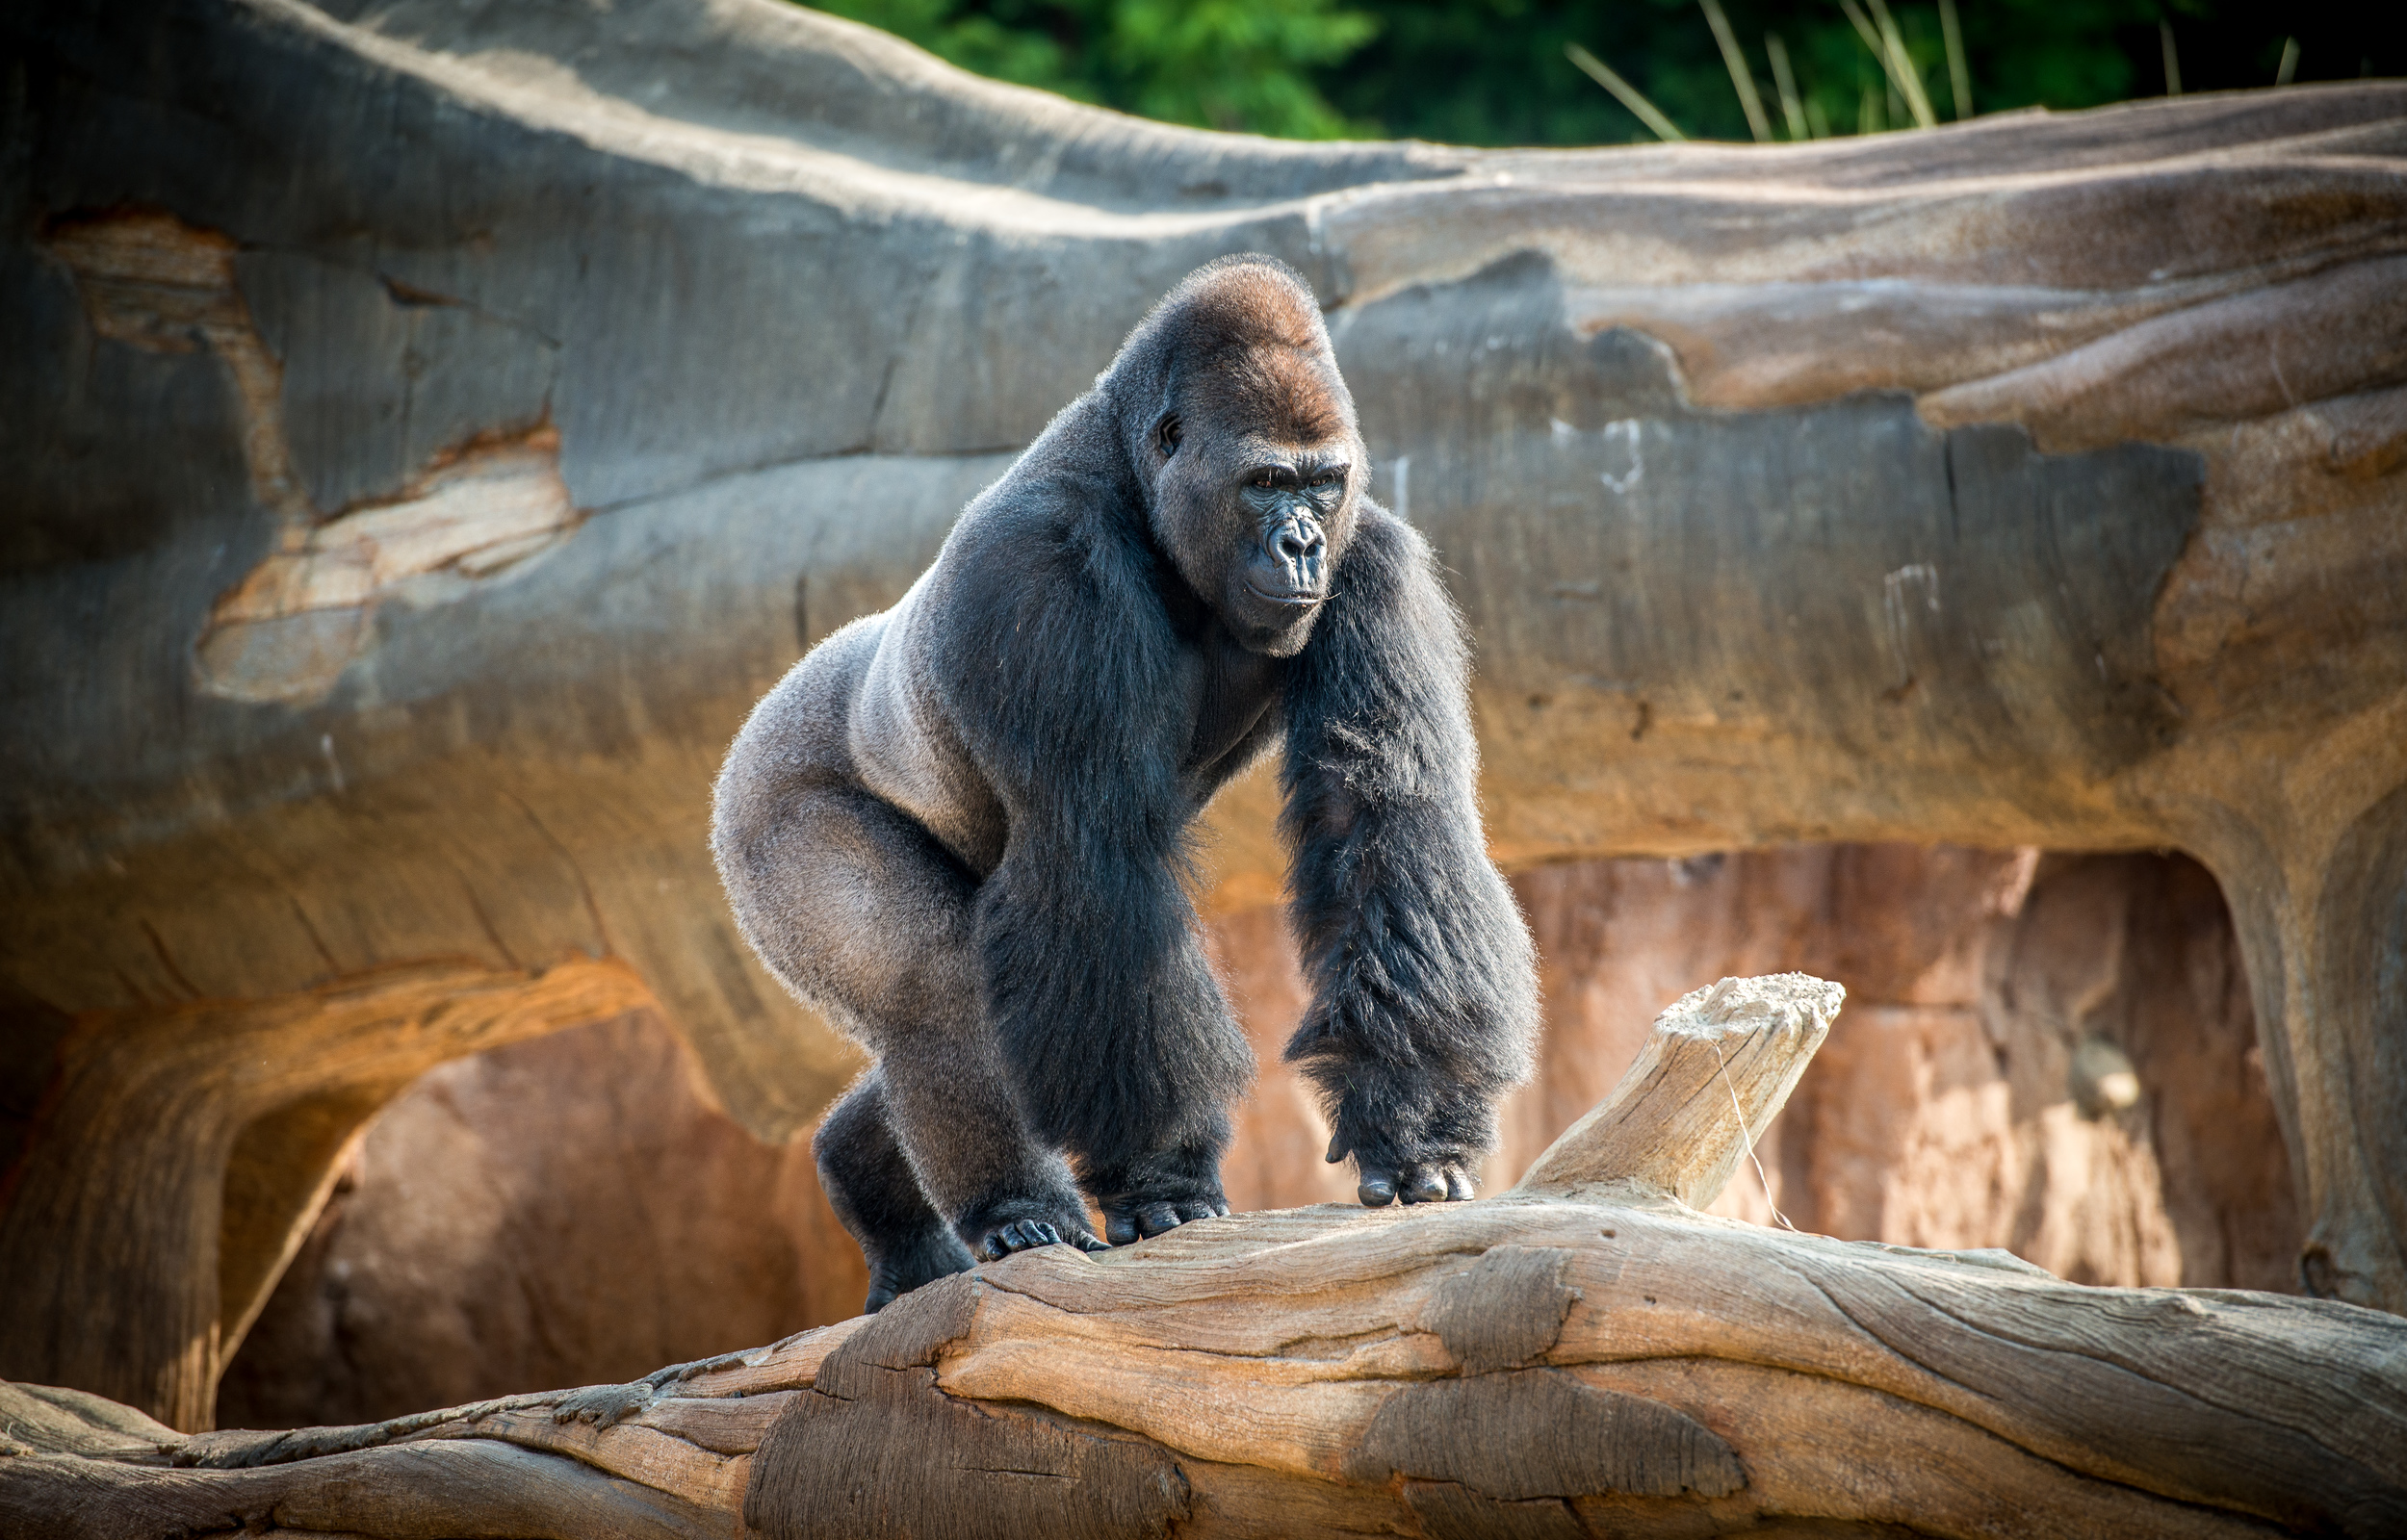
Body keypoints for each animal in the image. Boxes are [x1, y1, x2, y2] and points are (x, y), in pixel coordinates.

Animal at [712, 255, 1540, 1309]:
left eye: (1321, 483)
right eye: (1264, 483)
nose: (1301, 544)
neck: (1137, 479)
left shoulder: (1372, 553)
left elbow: (1386, 820)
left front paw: (1414, 1122)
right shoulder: (1042, 568)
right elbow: (1093, 853)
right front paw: (1161, 1175)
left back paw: (868, 1177)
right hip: (764, 808)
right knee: (931, 980)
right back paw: (1013, 1209)